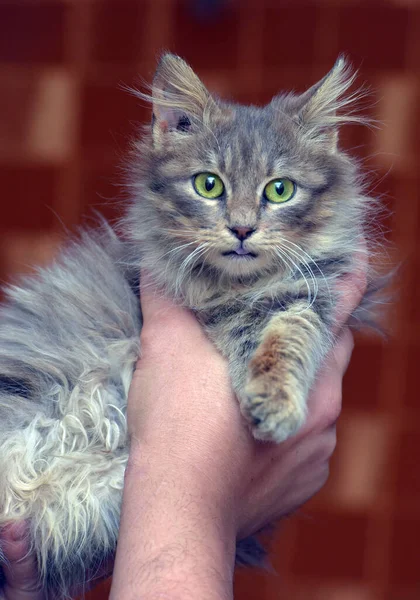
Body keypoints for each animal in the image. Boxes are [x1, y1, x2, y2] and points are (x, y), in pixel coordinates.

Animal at [0, 55, 380, 596]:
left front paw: (274, 402)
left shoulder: (311, 299)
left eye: (280, 190)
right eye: (209, 185)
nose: (242, 228)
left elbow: (287, 339)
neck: (238, 290)